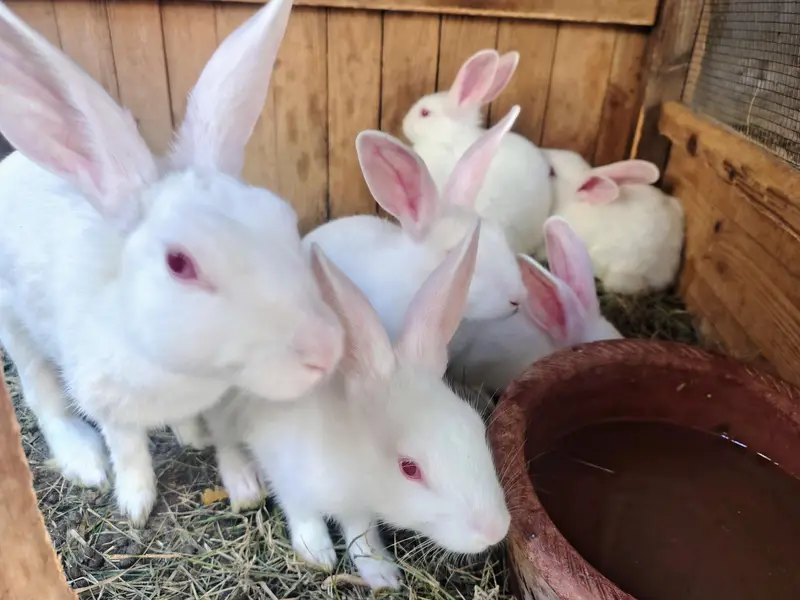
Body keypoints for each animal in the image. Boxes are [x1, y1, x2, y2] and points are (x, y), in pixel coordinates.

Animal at [0, 0, 344, 525]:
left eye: (284, 218)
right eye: (180, 264)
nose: (327, 350)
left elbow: (205, 428)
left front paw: (215, 456)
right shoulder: (107, 403)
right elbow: (129, 451)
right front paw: (135, 505)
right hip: (16, 328)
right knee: (43, 395)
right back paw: (85, 460)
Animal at [203, 223, 511, 590]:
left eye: (477, 427)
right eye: (409, 468)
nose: (495, 530)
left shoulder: (359, 508)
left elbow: (361, 534)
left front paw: (383, 575)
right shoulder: (287, 473)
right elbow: (303, 514)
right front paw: (317, 553)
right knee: (224, 444)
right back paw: (245, 487)